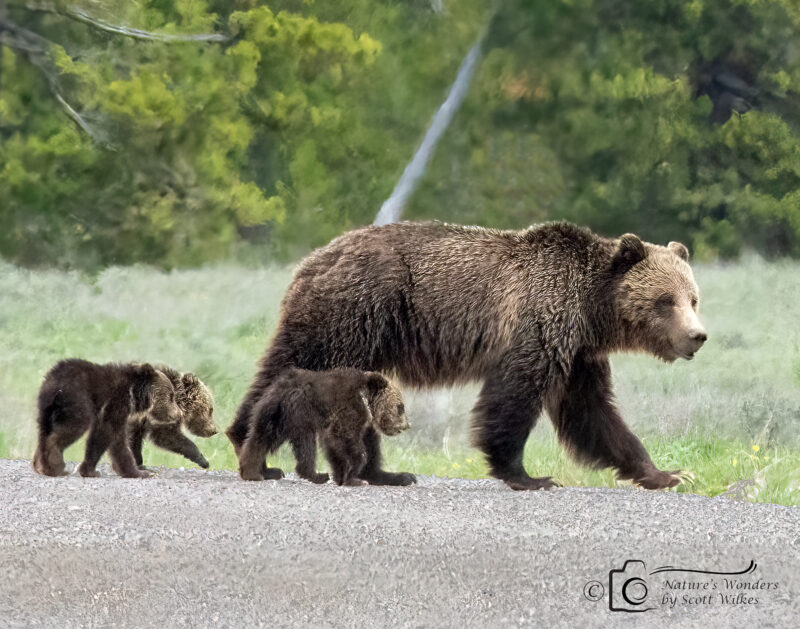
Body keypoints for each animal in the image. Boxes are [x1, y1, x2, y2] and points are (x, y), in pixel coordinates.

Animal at [32, 358, 183, 476]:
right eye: (171, 396)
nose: (179, 413)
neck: (133, 394)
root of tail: (53, 380)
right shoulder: (116, 403)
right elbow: (110, 434)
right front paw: (138, 472)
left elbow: (106, 438)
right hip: (77, 400)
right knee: (72, 427)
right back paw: (56, 466)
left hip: (45, 409)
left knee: (43, 431)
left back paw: (41, 466)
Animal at [238, 368, 410, 486]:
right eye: (400, 407)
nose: (407, 425)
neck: (366, 400)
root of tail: (280, 387)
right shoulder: (349, 408)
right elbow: (345, 437)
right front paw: (355, 478)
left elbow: (333, 445)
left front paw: (341, 476)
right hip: (300, 413)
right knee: (305, 444)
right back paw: (316, 475)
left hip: (274, 417)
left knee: (260, 439)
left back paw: (251, 472)